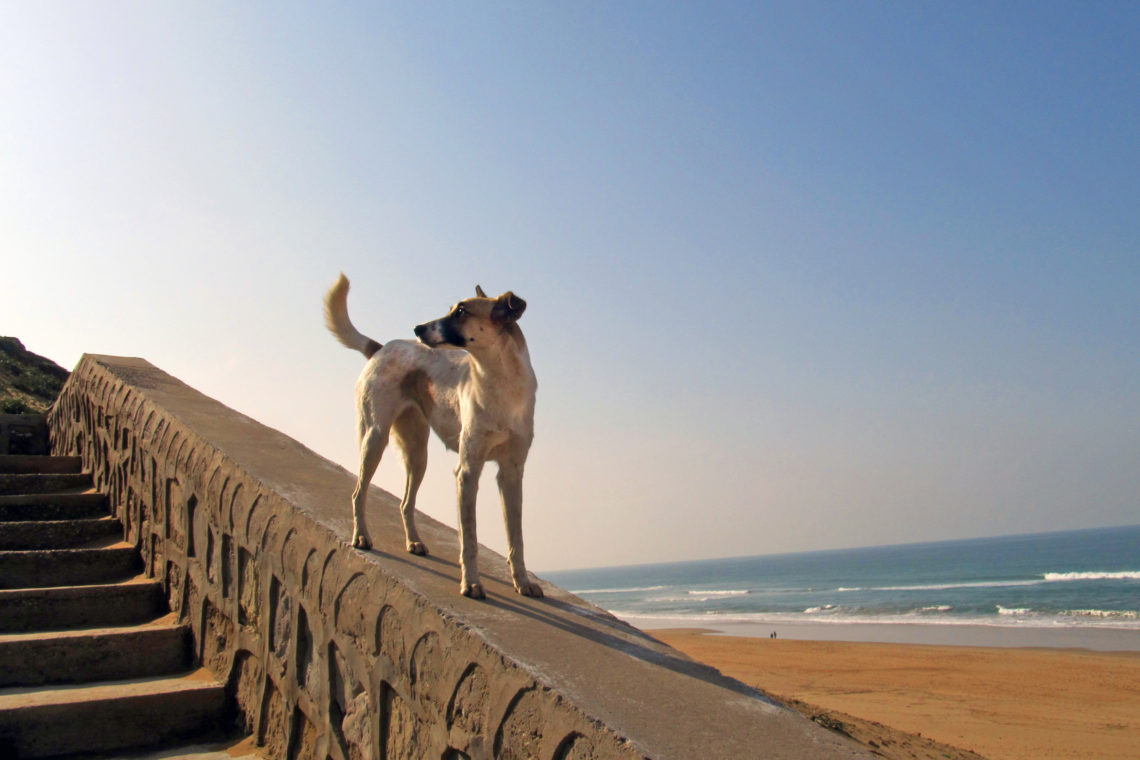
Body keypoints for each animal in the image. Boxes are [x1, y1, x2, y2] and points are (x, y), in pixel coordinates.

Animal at [323, 274, 540, 601]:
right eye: (452, 308)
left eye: (461, 312)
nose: (418, 328)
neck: (502, 384)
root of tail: (381, 348)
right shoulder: (467, 471)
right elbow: (470, 538)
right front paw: (471, 583)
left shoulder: (512, 473)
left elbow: (516, 537)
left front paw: (522, 581)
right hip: (374, 439)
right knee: (358, 492)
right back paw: (361, 535)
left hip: (417, 455)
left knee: (405, 503)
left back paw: (413, 542)